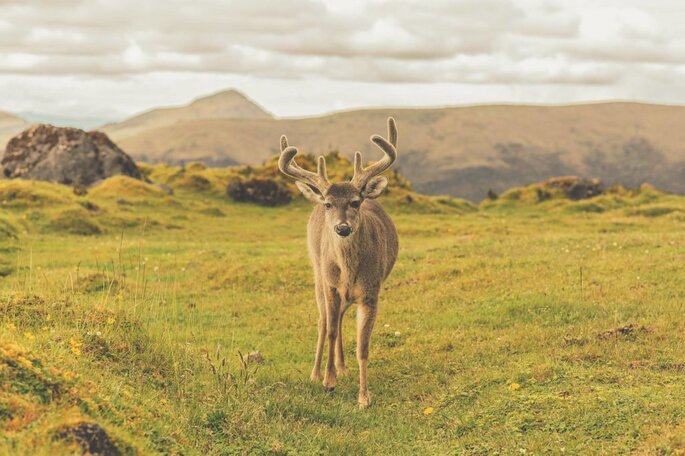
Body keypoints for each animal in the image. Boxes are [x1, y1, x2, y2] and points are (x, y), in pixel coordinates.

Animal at [276, 116, 398, 408]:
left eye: (355, 202)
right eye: (329, 204)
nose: (342, 228)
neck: (349, 273)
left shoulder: (371, 292)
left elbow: (362, 346)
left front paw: (363, 397)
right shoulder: (330, 284)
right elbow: (330, 330)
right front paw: (327, 381)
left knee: (340, 317)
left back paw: (342, 368)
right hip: (317, 272)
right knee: (324, 321)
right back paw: (316, 372)